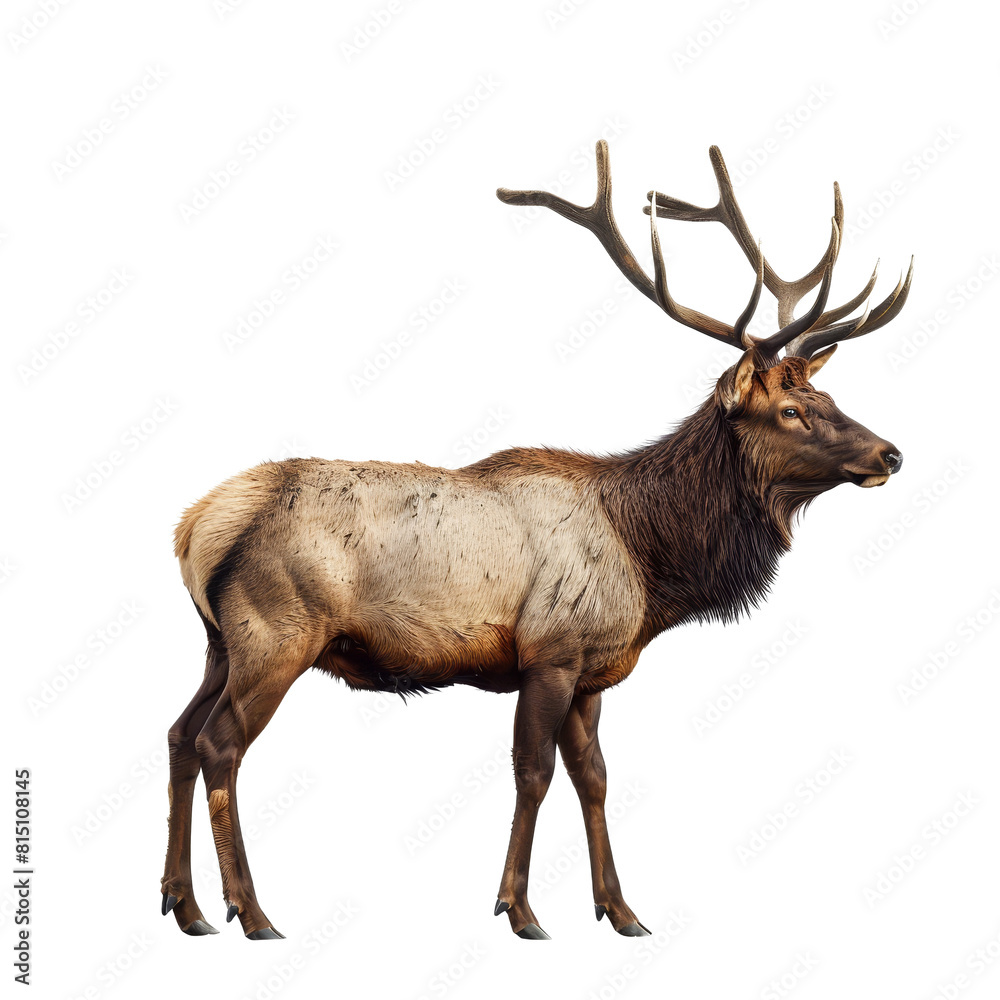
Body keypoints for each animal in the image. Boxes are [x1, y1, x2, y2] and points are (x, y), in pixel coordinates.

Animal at [160, 140, 912, 941]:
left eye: (828, 396)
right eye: (793, 411)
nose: (891, 453)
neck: (651, 564)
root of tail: (194, 526)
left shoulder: (593, 672)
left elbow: (595, 778)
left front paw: (622, 911)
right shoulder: (550, 651)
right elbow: (534, 773)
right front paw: (520, 909)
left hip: (219, 642)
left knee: (178, 734)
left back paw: (185, 905)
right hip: (277, 632)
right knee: (219, 744)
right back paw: (251, 911)